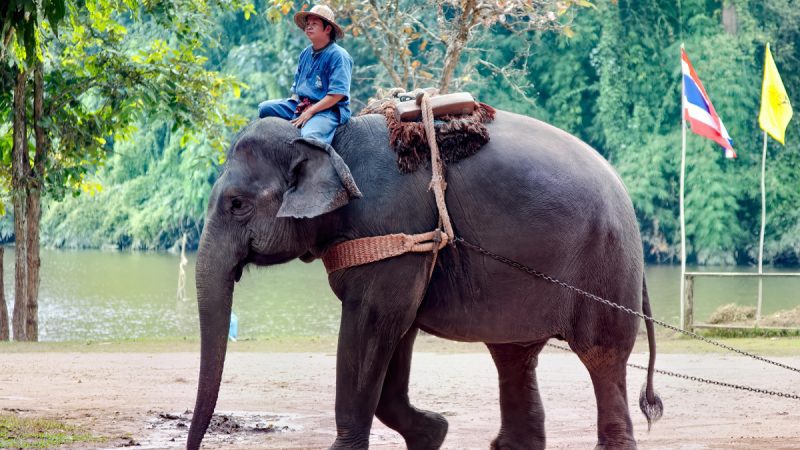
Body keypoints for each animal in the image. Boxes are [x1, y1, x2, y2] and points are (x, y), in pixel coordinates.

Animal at [187, 109, 662, 450]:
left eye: (236, 205)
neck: (329, 141)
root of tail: (626, 196)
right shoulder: (407, 248)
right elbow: (395, 333)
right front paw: (434, 432)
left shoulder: (393, 230)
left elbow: (375, 323)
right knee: (514, 356)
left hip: (606, 267)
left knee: (602, 357)